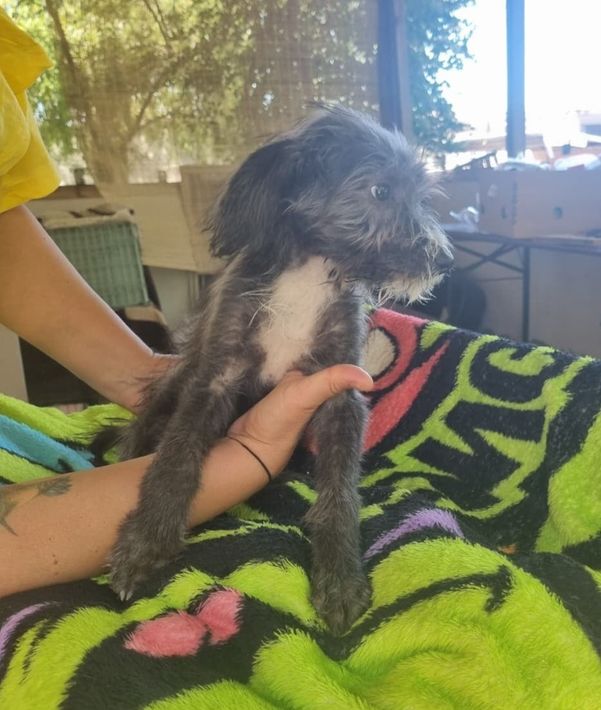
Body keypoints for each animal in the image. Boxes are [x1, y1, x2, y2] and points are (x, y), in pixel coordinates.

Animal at [109, 105, 453, 635]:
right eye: (380, 191)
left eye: (418, 193)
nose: (442, 259)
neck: (309, 274)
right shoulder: (213, 380)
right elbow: (175, 460)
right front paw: (146, 542)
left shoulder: (340, 392)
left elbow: (340, 493)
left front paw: (339, 578)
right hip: (175, 379)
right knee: (147, 430)